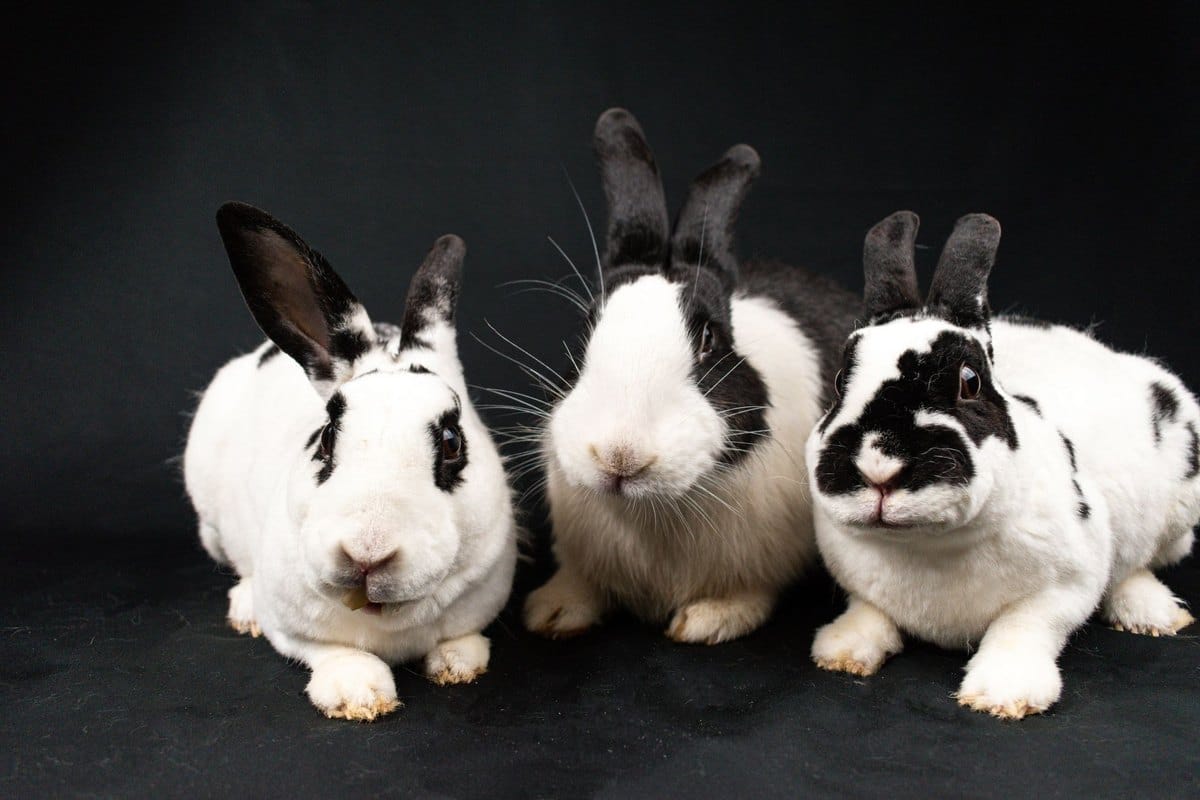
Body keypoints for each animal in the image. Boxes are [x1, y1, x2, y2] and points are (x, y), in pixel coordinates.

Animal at [183, 203, 517, 721]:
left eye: (451, 443)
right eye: (325, 438)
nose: (366, 553)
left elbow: (462, 637)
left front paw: (458, 665)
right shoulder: (292, 626)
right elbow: (331, 651)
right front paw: (357, 694)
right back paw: (244, 609)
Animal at [523, 108, 862, 644]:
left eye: (709, 340)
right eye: (586, 328)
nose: (620, 456)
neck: (651, 511)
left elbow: (748, 593)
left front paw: (707, 620)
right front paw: (552, 611)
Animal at [807, 210, 1199, 719]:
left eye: (970, 382)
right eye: (840, 382)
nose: (878, 468)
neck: (927, 546)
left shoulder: (1065, 587)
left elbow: (1022, 629)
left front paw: (1004, 695)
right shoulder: (859, 584)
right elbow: (868, 613)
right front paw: (841, 651)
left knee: (1139, 565)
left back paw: (1155, 614)